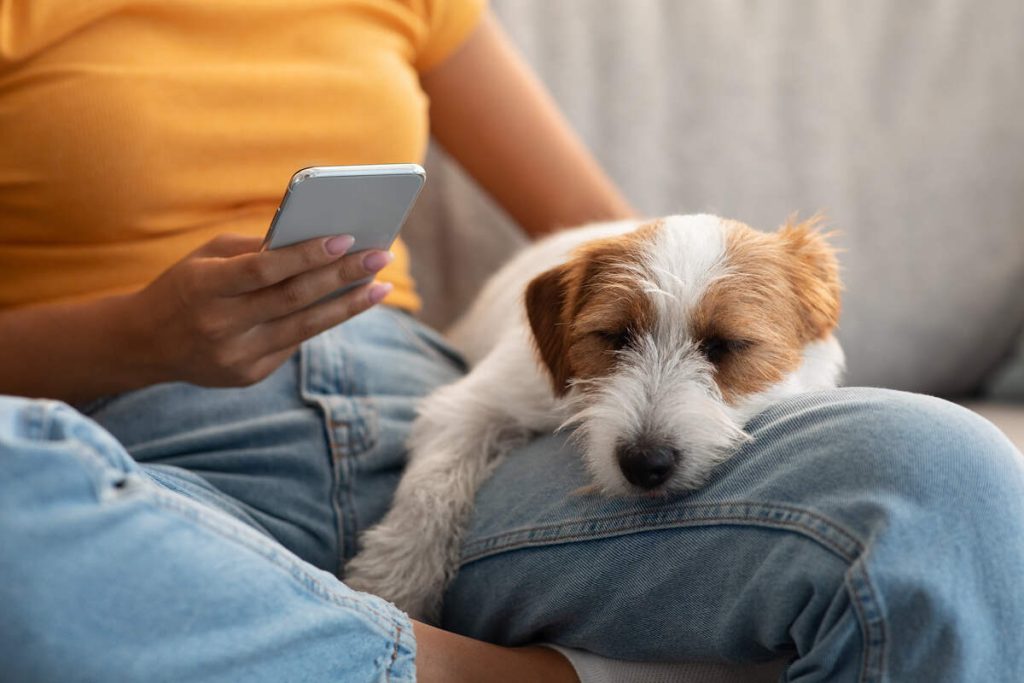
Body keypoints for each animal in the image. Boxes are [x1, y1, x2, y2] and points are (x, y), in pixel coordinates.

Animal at [342, 215, 839, 626]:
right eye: (614, 336)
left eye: (726, 345)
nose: (644, 462)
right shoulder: (471, 404)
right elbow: (431, 489)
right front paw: (394, 580)